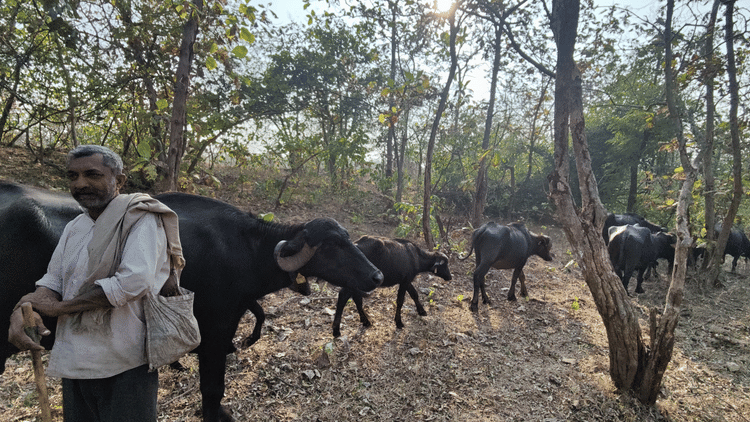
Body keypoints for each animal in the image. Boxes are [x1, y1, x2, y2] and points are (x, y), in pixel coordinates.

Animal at [0, 182, 384, 422]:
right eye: (332, 246)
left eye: (348, 239)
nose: (376, 276)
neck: (243, 247)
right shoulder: (214, 332)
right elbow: (212, 389)